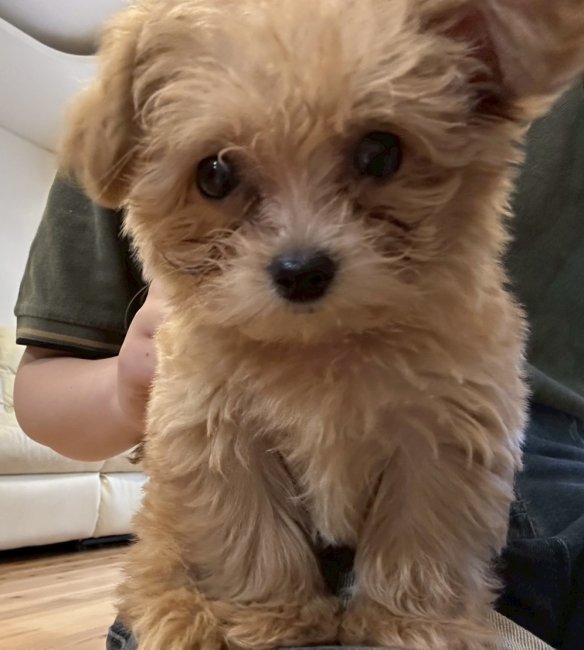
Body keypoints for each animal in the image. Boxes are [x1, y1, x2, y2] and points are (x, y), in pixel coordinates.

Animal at [60, 1, 584, 648]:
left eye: (380, 153)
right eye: (215, 174)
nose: (301, 270)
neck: (324, 345)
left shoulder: (441, 442)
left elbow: (419, 540)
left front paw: (409, 625)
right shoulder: (219, 437)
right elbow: (253, 538)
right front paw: (274, 618)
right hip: (165, 521)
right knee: (152, 563)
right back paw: (185, 616)